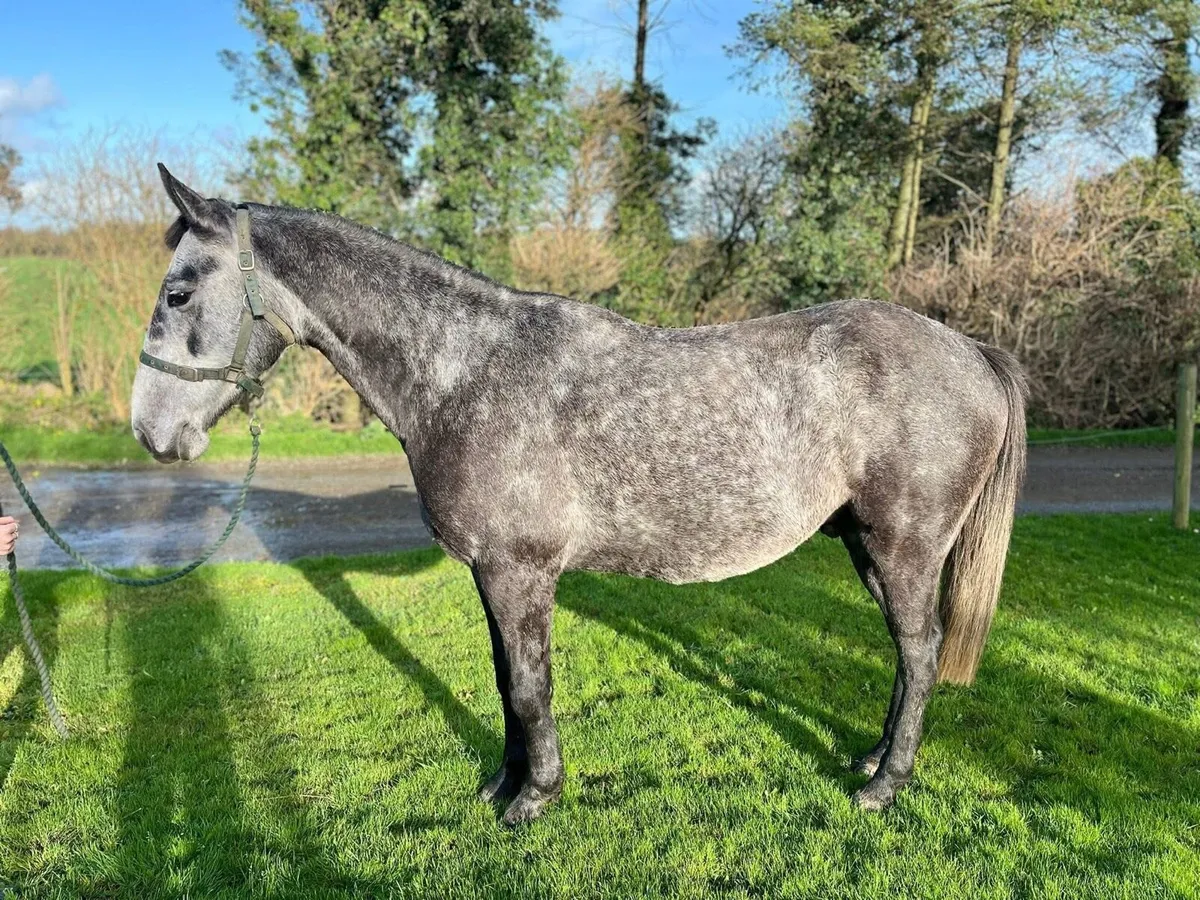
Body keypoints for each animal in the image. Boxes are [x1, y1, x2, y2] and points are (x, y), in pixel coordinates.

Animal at [132, 165, 1026, 826]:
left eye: (178, 293)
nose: (149, 432)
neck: (466, 373)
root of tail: (972, 351)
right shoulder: (491, 574)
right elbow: (504, 678)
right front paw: (502, 782)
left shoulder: (519, 571)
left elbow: (531, 686)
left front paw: (535, 797)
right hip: (866, 546)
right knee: (908, 655)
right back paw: (875, 756)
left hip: (904, 548)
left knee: (920, 649)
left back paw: (885, 783)